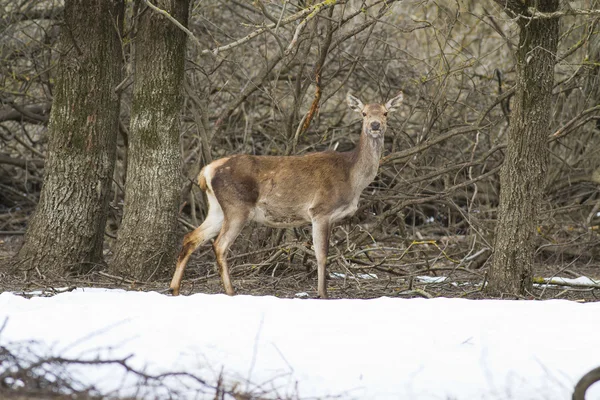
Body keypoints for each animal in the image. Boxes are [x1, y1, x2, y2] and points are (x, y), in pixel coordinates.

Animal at [169, 92, 404, 298]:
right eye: (363, 113)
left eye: (385, 113)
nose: (375, 125)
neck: (352, 177)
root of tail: (206, 171)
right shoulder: (320, 210)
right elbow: (322, 255)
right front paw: (323, 294)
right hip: (237, 206)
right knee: (219, 245)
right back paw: (230, 291)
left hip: (218, 208)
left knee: (191, 237)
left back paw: (174, 288)